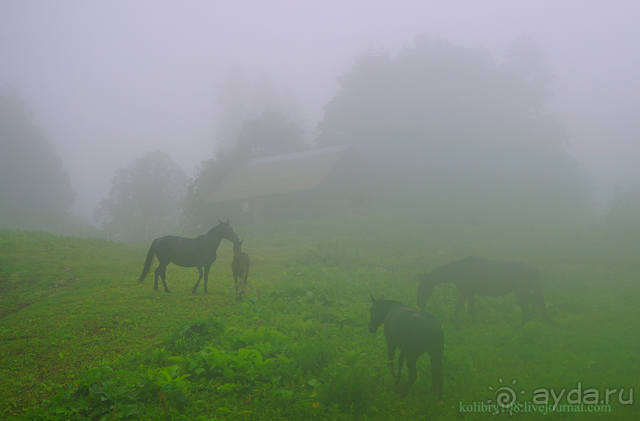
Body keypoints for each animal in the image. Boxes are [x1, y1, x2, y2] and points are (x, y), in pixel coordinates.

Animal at [416, 254, 552, 324]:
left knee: (529, 307)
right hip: (527, 290)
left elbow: (460, 307)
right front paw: (473, 323)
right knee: (535, 304)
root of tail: (535, 269)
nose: (419, 303)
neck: (456, 271)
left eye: (422, 286)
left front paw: (457, 323)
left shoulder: (465, 291)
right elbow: (471, 308)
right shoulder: (469, 293)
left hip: (522, 291)